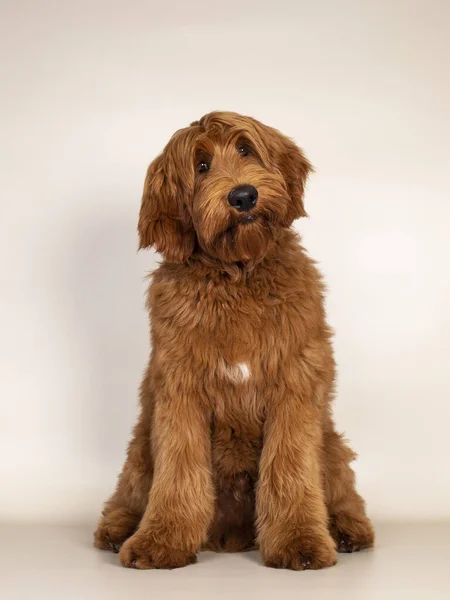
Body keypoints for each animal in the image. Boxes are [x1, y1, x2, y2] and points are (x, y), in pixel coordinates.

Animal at [93, 111, 374, 572]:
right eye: (201, 166)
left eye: (245, 149)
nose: (243, 196)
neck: (237, 276)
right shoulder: (180, 391)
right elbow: (178, 473)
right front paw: (160, 541)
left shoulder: (294, 385)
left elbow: (290, 469)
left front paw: (300, 541)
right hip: (140, 445)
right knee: (130, 491)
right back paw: (119, 529)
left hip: (330, 443)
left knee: (340, 488)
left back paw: (347, 529)